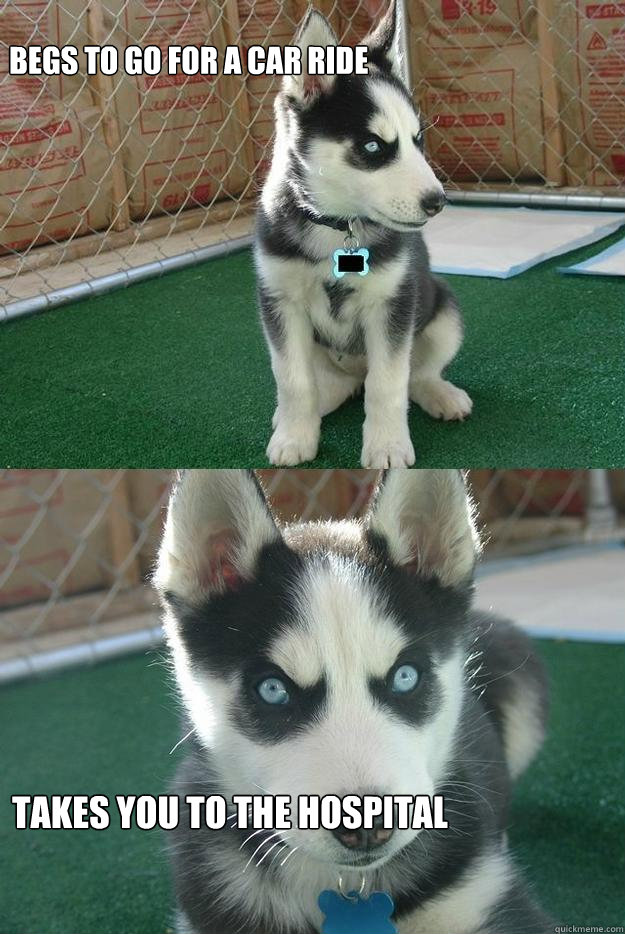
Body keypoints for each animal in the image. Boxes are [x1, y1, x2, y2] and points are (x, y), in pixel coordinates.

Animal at [256, 0, 470, 468]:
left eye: (417, 140)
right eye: (373, 146)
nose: (438, 201)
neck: (338, 226)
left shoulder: (392, 305)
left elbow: (388, 383)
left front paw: (387, 445)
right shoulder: (280, 303)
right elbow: (293, 379)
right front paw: (294, 437)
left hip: (443, 312)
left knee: (414, 375)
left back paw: (440, 394)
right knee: (327, 385)